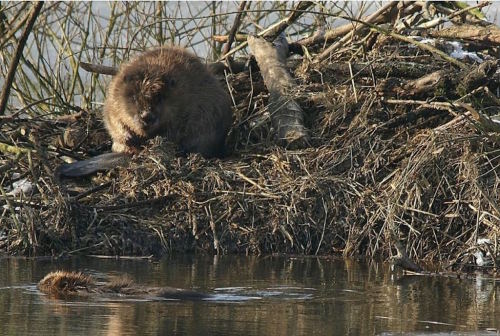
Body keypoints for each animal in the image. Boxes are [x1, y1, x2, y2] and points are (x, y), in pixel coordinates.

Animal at [104, 45, 233, 159]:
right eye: (134, 97)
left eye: (160, 98)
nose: (147, 117)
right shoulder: (114, 95)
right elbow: (113, 120)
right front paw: (129, 138)